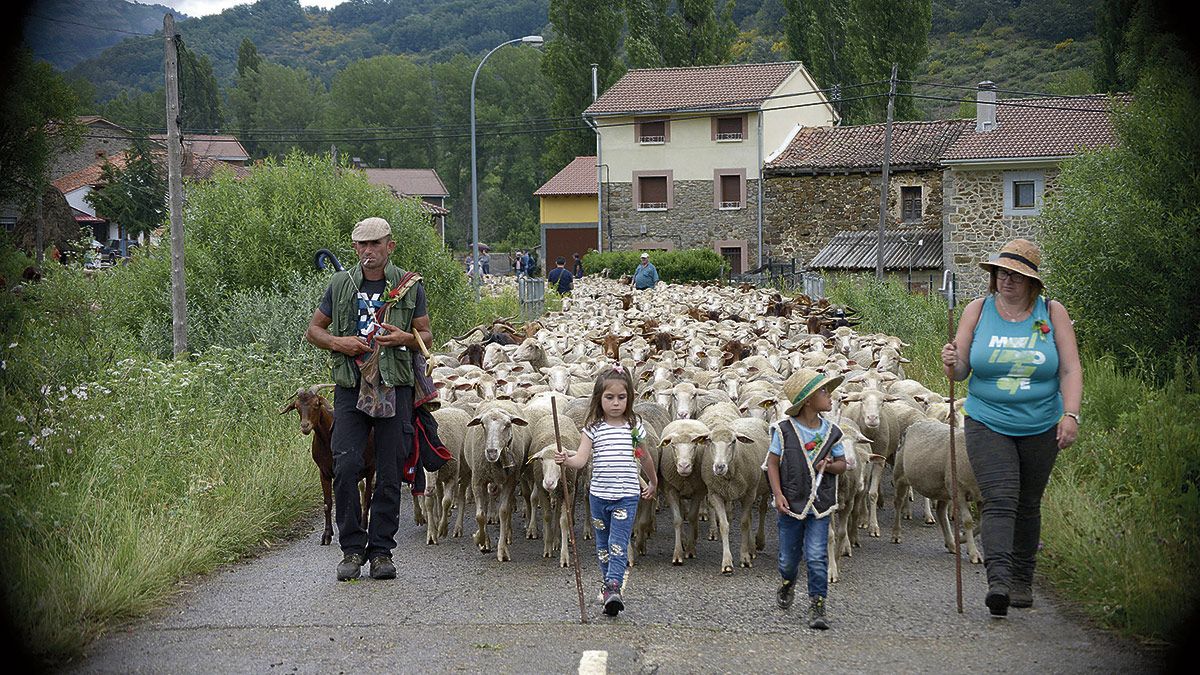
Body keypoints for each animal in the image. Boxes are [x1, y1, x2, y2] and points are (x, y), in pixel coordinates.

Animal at [280, 386, 374, 542]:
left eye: (316, 404)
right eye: (297, 407)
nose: (305, 426)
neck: (327, 439)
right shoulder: (323, 472)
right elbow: (327, 503)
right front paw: (327, 534)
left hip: (371, 467)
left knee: (367, 496)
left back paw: (363, 524)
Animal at [892, 417, 984, 564]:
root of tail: (914, 424)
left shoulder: (981, 496)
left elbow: (981, 524)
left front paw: (961, 539)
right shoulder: (959, 491)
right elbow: (968, 521)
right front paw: (974, 553)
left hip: (943, 488)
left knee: (941, 512)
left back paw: (951, 543)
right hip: (900, 475)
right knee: (898, 503)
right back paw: (896, 534)